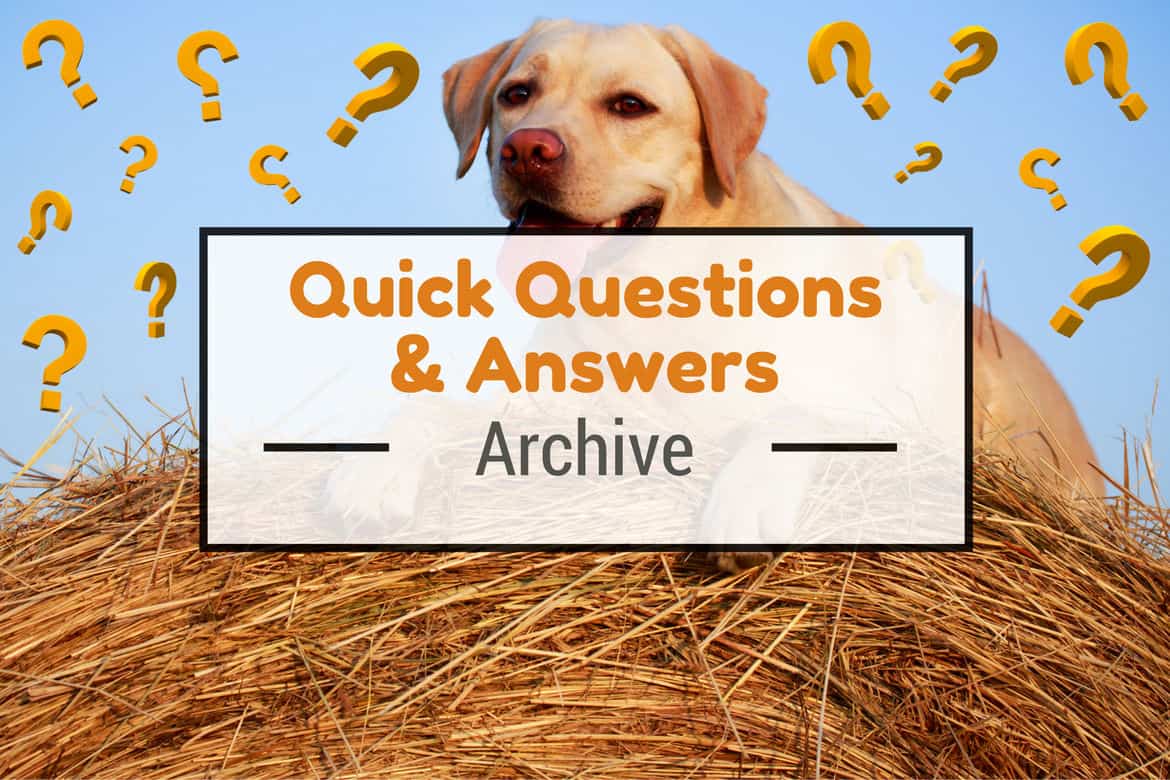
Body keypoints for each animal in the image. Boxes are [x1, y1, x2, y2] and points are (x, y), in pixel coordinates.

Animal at [437, 19, 1095, 573]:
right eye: (517, 94)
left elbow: (793, 416)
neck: (652, 300)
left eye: (630, 105)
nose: (526, 150)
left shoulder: (883, 418)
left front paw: (743, 506)